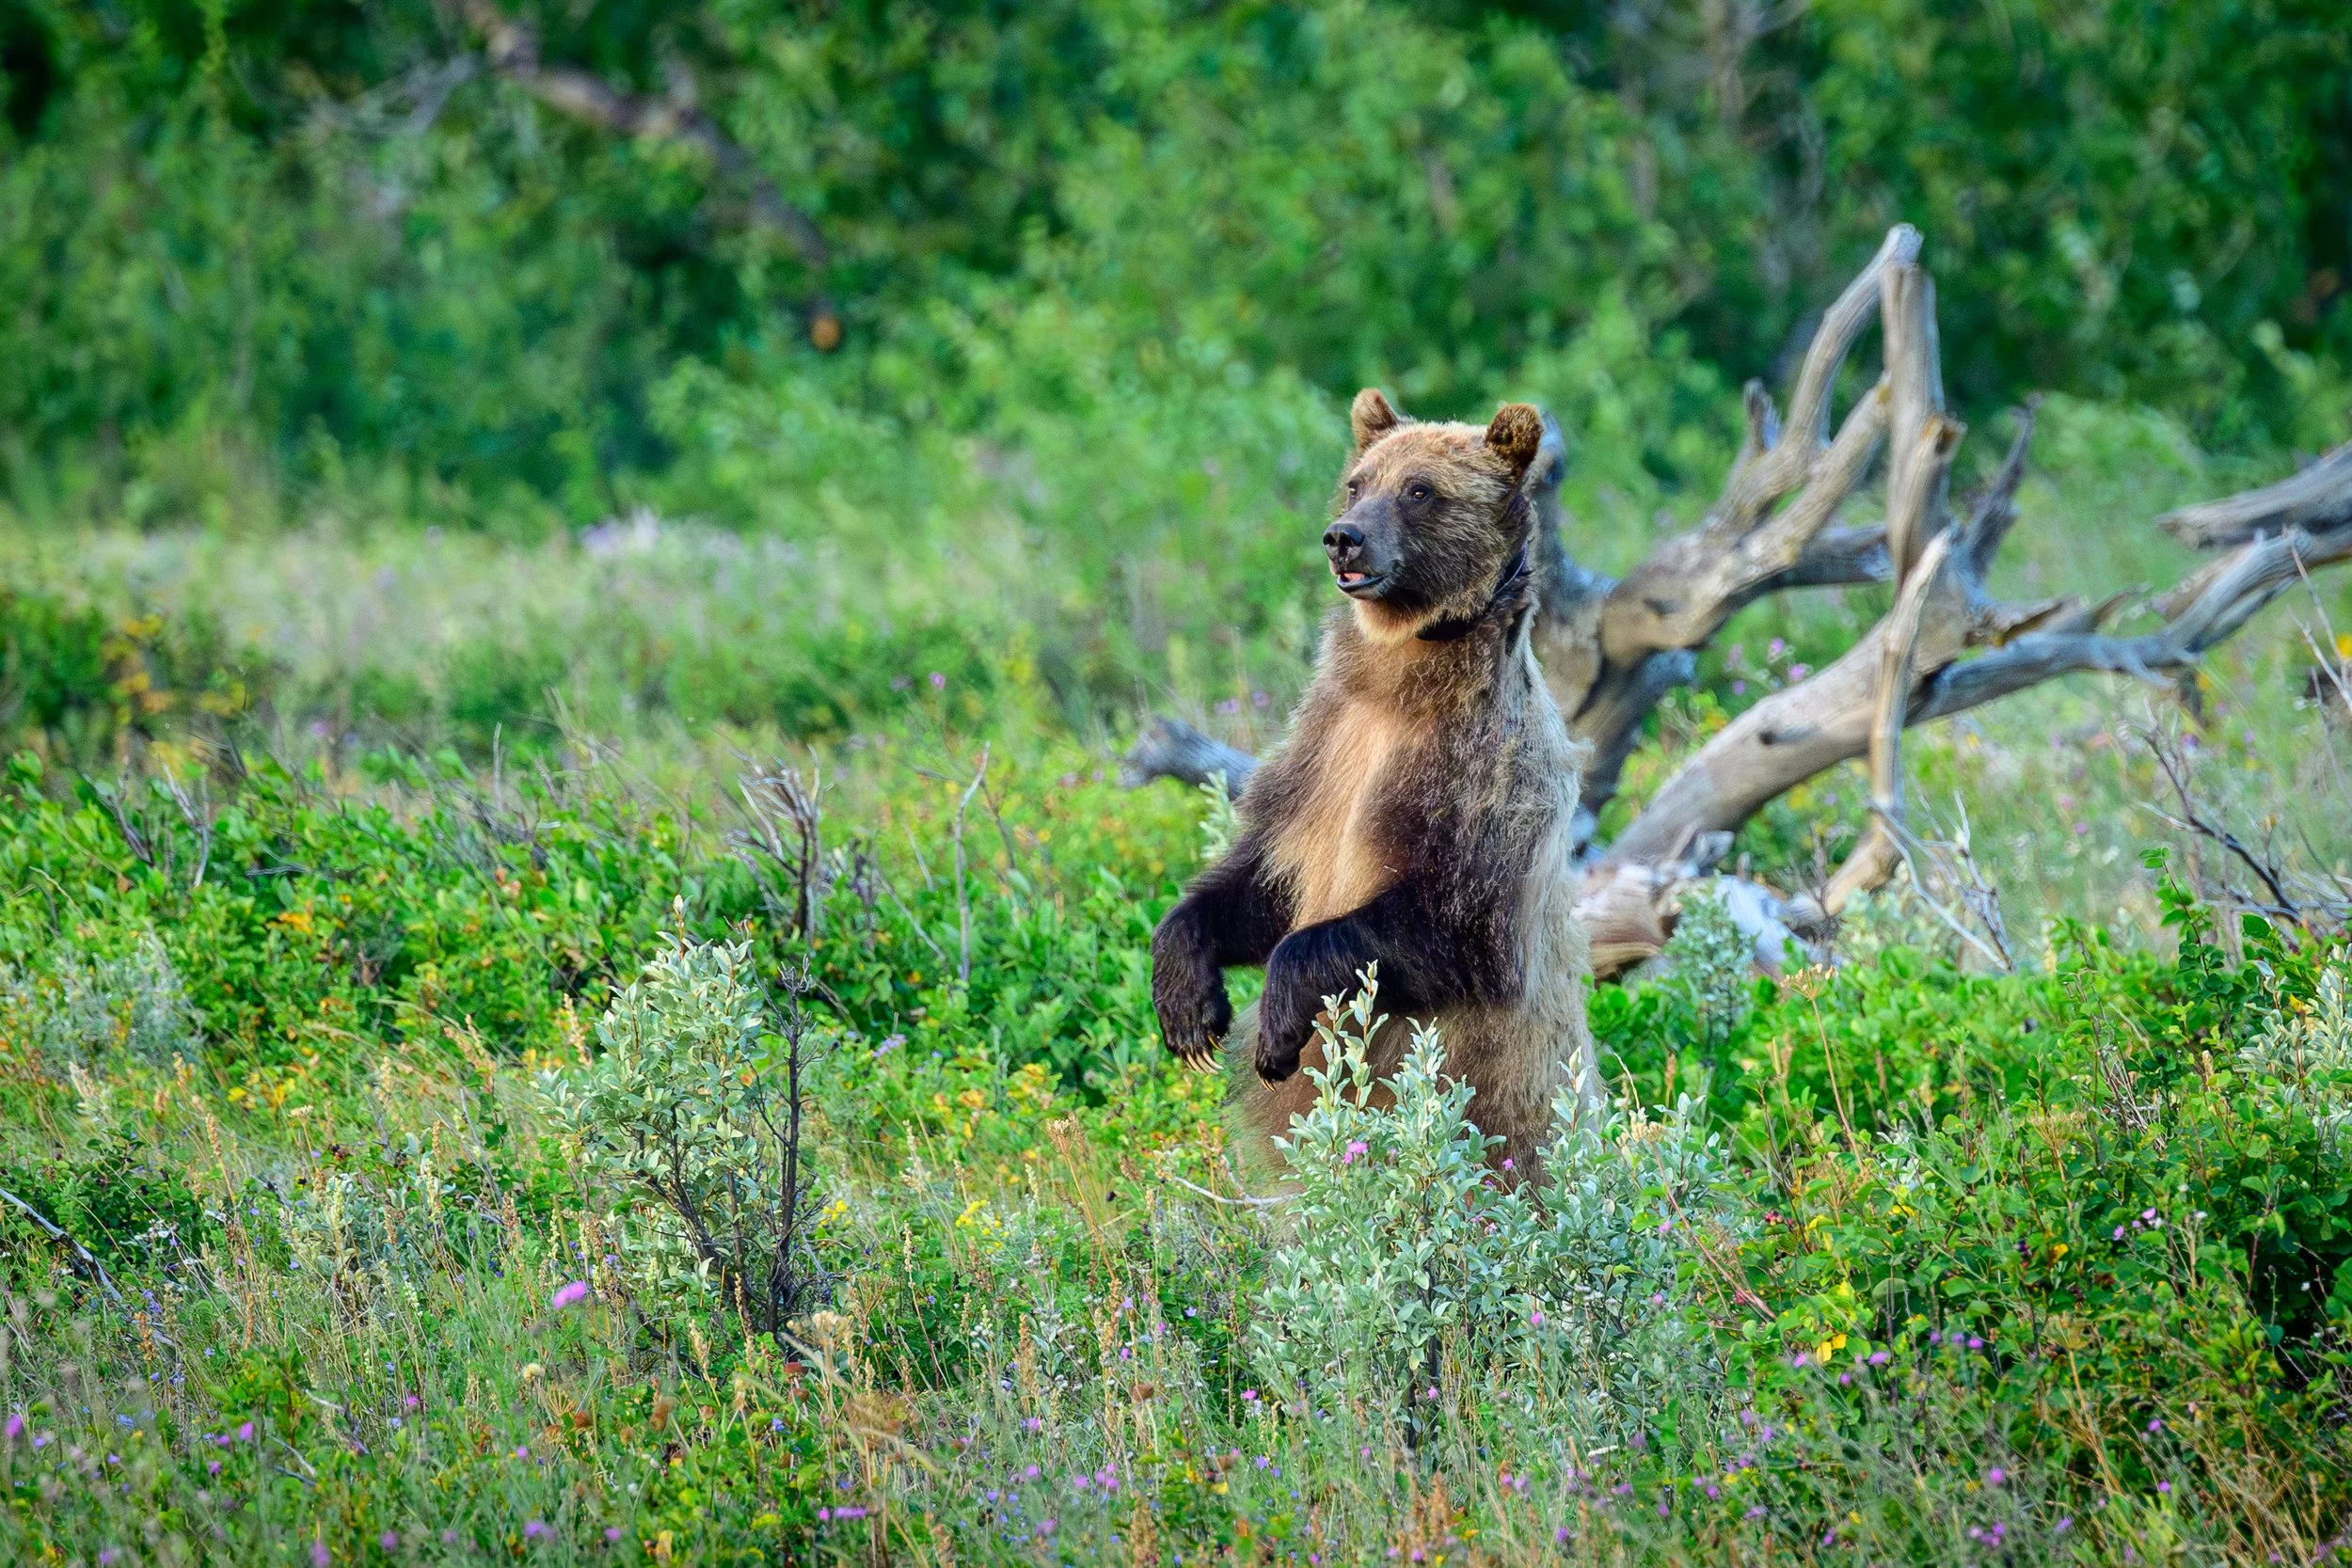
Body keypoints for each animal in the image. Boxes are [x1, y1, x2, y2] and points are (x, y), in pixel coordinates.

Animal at [1149, 388, 1596, 1175]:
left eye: (1420, 490)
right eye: (1359, 482)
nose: (1343, 538)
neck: (1401, 687)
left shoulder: (1482, 787)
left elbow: (1442, 924)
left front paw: (1276, 1029)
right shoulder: (1322, 757)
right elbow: (1260, 884)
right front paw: (1188, 1009)